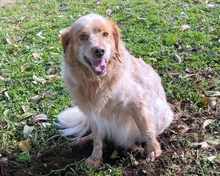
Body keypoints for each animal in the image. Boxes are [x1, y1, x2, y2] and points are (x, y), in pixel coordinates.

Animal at [57, 13, 174, 168]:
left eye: (105, 34)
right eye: (83, 37)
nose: (99, 51)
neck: (97, 83)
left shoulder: (136, 102)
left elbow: (146, 129)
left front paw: (153, 150)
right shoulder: (93, 113)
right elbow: (97, 138)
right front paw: (95, 158)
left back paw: (133, 147)